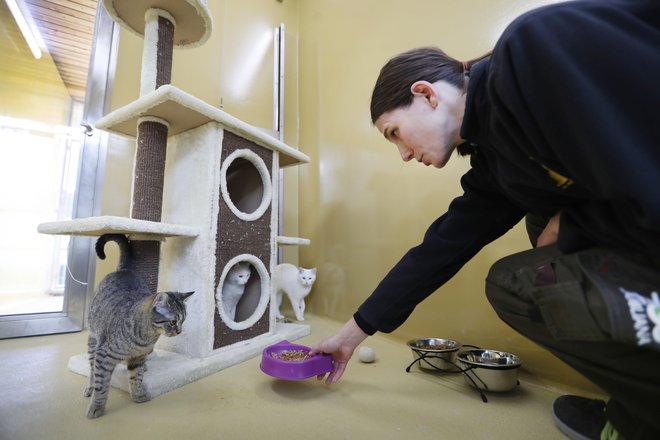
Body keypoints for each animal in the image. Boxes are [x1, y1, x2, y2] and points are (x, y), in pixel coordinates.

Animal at [83, 234, 193, 420]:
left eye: (183, 321)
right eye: (173, 322)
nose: (179, 331)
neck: (146, 337)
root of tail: (124, 271)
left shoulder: (138, 358)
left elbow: (136, 378)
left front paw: (138, 395)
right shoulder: (103, 355)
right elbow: (102, 384)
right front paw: (97, 406)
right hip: (93, 342)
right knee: (92, 370)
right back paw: (90, 387)